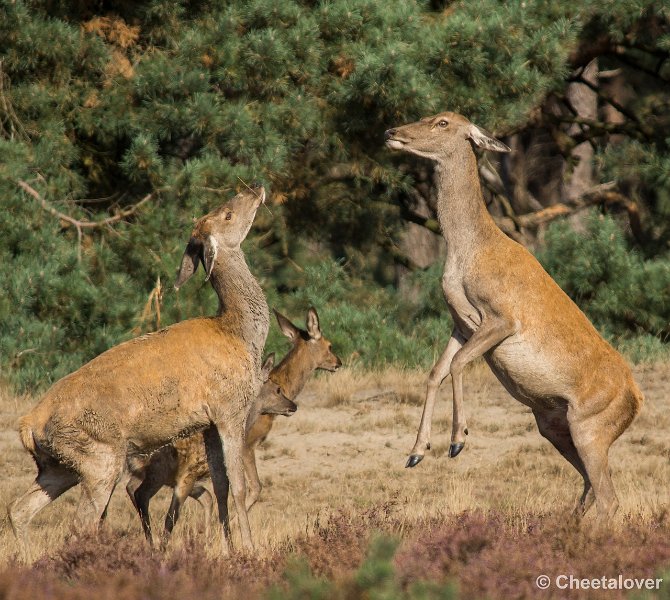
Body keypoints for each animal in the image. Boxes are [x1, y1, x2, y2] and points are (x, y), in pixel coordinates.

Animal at [8, 186, 270, 556]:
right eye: (228, 214)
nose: (255, 188)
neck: (239, 333)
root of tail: (27, 425)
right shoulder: (229, 408)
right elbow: (239, 486)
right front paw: (249, 549)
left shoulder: (207, 423)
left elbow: (220, 485)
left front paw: (227, 549)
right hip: (100, 456)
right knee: (81, 522)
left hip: (59, 466)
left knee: (19, 509)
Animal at [126, 308, 342, 548]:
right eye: (330, 345)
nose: (338, 362)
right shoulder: (247, 444)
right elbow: (254, 487)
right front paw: (234, 530)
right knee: (140, 493)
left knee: (132, 488)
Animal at [388, 111, 644, 520]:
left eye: (442, 122)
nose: (392, 132)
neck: (467, 253)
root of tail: (636, 401)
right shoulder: (460, 323)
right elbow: (435, 372)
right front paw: (416, 453)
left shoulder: (502, 317)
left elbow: (458, 364)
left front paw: (457, 442)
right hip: (554, 425)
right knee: (590, 488)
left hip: (592, 427)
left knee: (608, 497)